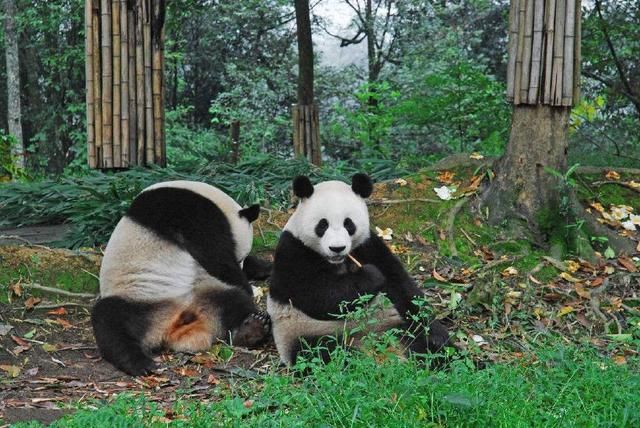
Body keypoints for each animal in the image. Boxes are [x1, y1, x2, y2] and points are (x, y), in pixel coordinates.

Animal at [91, 181, 272, 374]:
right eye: (239, 259)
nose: (241, 268)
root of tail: (170, 327)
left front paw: (263, 268)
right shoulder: (188, 212)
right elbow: (213, 254)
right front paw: (244, 283)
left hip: (205, 291)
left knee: (233, 301)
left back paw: (251, 329)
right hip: (139, 297)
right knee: (109, 320)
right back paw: (139, 363)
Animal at [268, 172, 448, 366]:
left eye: (349, 224)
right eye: (322, 225)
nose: (337, 248)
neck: (337, 261)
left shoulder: (367, 245)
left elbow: (400, 285)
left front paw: (437, 334)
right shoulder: (293, 250)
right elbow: (316, 294)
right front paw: (371, 276)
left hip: (395, 326)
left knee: (422, 343)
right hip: (305, 331)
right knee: (323, 353)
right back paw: (358, 363)